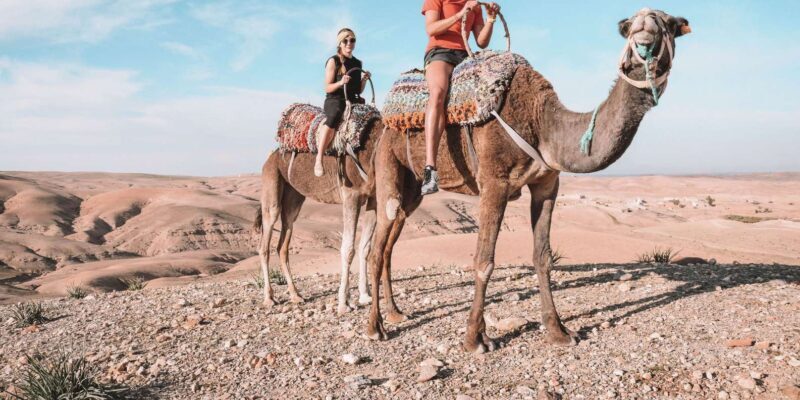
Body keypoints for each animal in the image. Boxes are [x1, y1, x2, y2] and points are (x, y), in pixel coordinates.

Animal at [253, 119, 384, 314]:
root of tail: (271, 156)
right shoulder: (351, 195)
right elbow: (349, 248)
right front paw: (344, 304)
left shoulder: (373, 198)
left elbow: (365, 247)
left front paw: (365, 296)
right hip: (272, 183)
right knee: (265, 243)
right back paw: (269, 298)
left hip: (294, 198)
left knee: (283, 243)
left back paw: (296, 295)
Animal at [365, 9, 691, 352]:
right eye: (628, 27)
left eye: (669, 24)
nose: (645, 27)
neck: (541, 123)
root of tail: (386, 120)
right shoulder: (494, 182)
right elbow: (484, 260)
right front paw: (474, 339)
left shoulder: (546, 184)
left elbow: (543, 257)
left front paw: (558, 331)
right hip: (388, 163)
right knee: (378, 243)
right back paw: (375, 327)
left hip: (413, 190)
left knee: (389, 245)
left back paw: (396, 313)